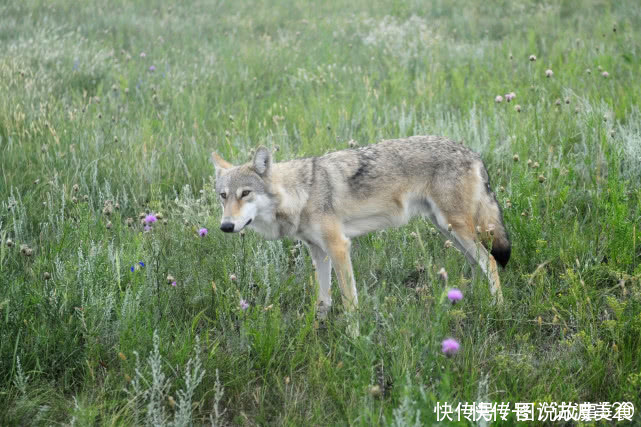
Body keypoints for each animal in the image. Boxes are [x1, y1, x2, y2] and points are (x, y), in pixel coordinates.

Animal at [211, 137, 510, 324]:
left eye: (245, 193)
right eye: (223, 196)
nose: (226, 226)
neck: (302, 193)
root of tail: (472, 152)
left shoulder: (339, 247)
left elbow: (349, 302)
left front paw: (354, 338)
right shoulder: (318, 252)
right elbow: (323, 301)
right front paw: (317, 332)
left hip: (456, 228)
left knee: (490, 260)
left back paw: (497, 307)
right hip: (447, 229)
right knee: (476, 263)